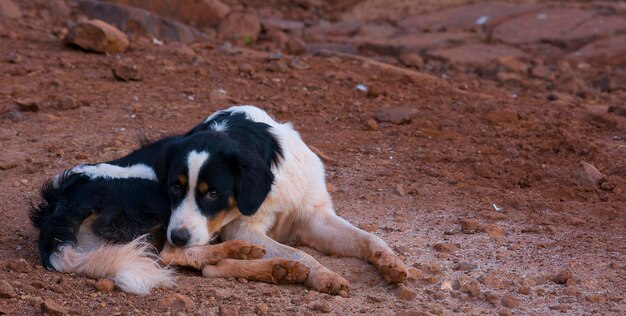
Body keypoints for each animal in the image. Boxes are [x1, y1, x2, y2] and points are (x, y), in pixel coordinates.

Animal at [31, 106, 408, 296]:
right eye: (175, 187)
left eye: (212, 193)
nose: (179, 234)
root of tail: (57, 212)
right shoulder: (240, 226)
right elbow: (300, 252)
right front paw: (323, 276)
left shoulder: (315, 216)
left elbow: (368, 237)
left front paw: (392, 262)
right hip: (147, 195)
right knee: (173, 255)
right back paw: (262, 260)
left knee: (201, 264)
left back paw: (269, 266)